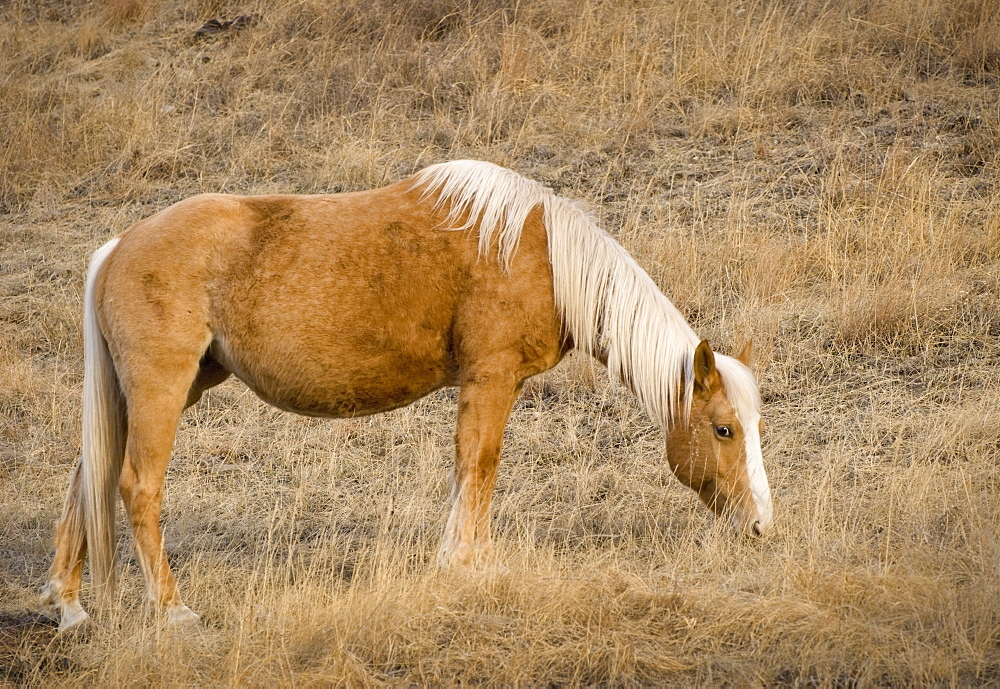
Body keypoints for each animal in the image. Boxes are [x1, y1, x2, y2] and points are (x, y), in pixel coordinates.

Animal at [41, 160, 772, 628]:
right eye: (724, 428)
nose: (761, 525)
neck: (538, 252)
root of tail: (118, 246)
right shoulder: (490, 378)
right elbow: (478, 467)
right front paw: (465, 566)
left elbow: (470, 472)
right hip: (161, 390)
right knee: (136, 486)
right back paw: (172, 611)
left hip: (167, 389)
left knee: (89, 475)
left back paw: (70, 606)